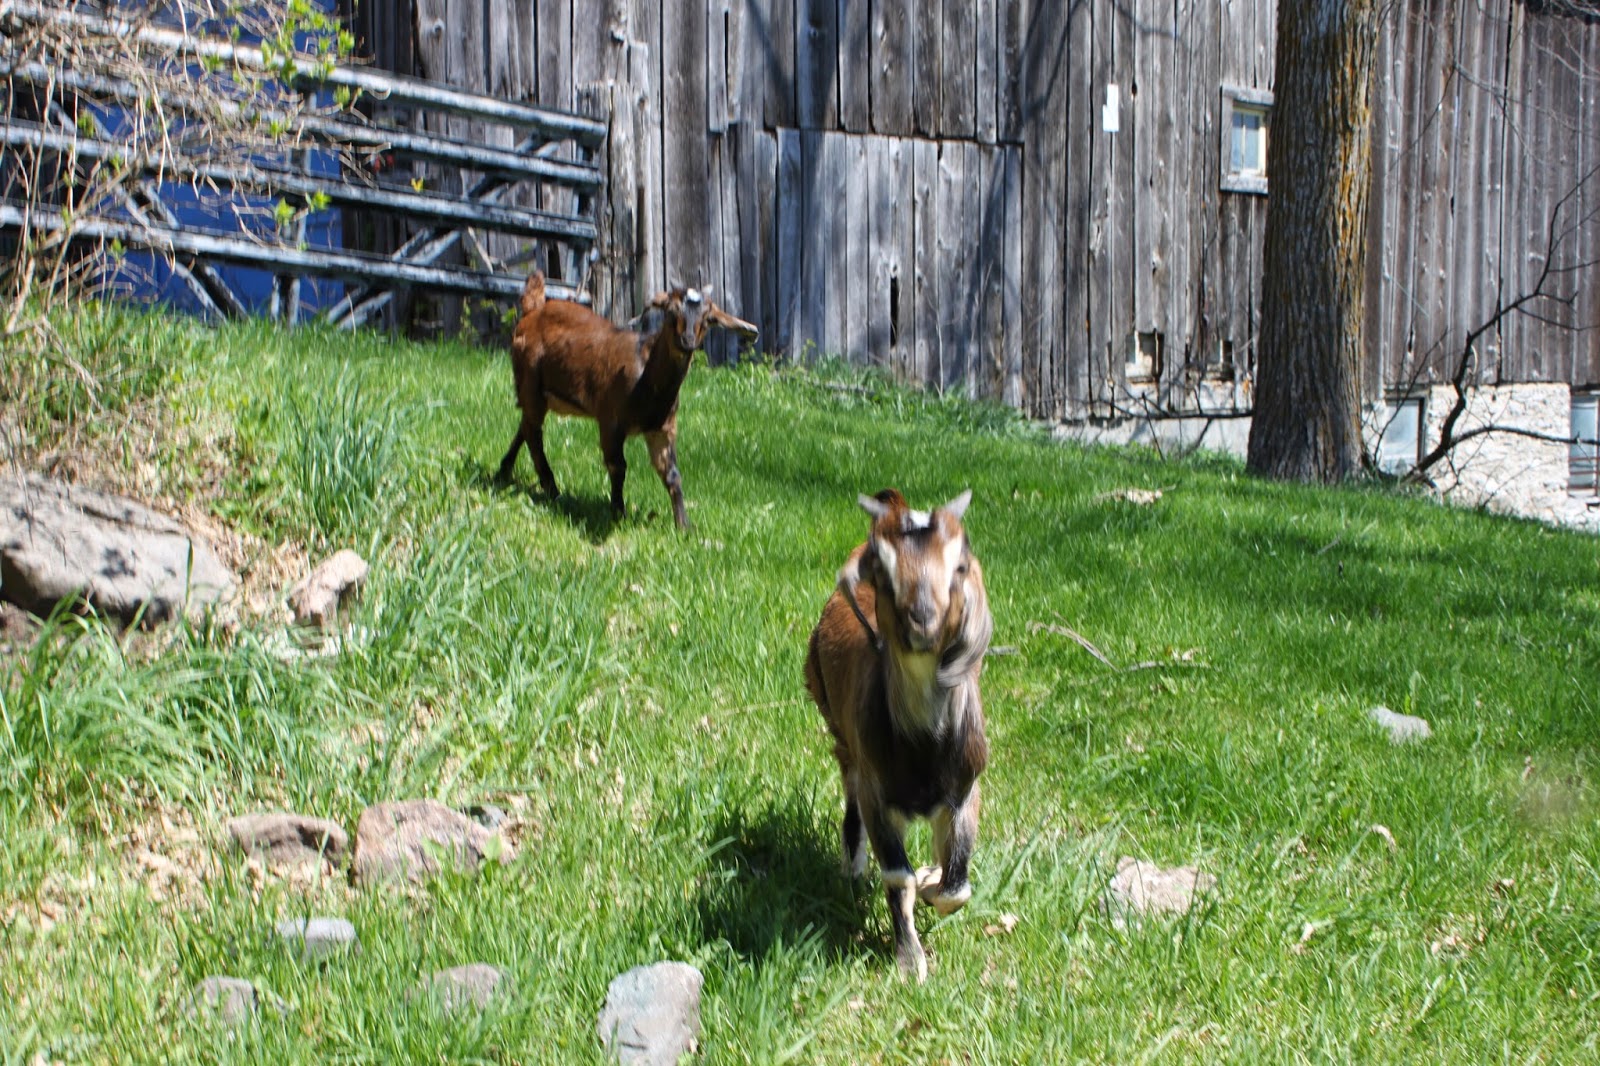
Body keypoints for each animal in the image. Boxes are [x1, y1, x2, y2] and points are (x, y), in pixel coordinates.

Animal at [496, 271, 758, 529]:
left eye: (707, 318)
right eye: (671, 311)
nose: (687, 341)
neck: (646, 373)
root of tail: (533, 310)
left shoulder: (662, 428)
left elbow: (672, 474)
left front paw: (684, 526)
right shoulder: (610, 420)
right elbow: (617, 466)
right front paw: (617, 512)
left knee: (526, 425)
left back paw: (504, 472)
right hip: (530, 380)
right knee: (534, 433)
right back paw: (552, 489)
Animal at [803, 488, 993, 980]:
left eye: (959, 564)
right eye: (883, 568)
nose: (922, 619)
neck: (924, 750)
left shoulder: (965, 791)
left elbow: (956, 885)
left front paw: (931, 882)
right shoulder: (879, 795)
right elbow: (897, 877)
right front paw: (910, 964)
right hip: (842, 739)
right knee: (850, 799)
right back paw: (853, 869)